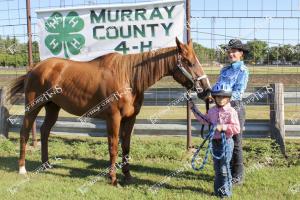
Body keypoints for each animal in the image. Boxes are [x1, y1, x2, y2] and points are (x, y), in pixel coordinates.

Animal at [7, 37, 211, 184]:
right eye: (189, 62)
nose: (207, 90)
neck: (128, 77)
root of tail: (35, 68)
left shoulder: (130, 119)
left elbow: (126, 146)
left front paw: (128, 176)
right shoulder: (113, 118)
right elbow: (113, 147)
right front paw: (113, 178)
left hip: (52, 107)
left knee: (45, 131)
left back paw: (46, 164)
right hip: (33, 107)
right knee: (25, 132)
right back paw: (22, 168)